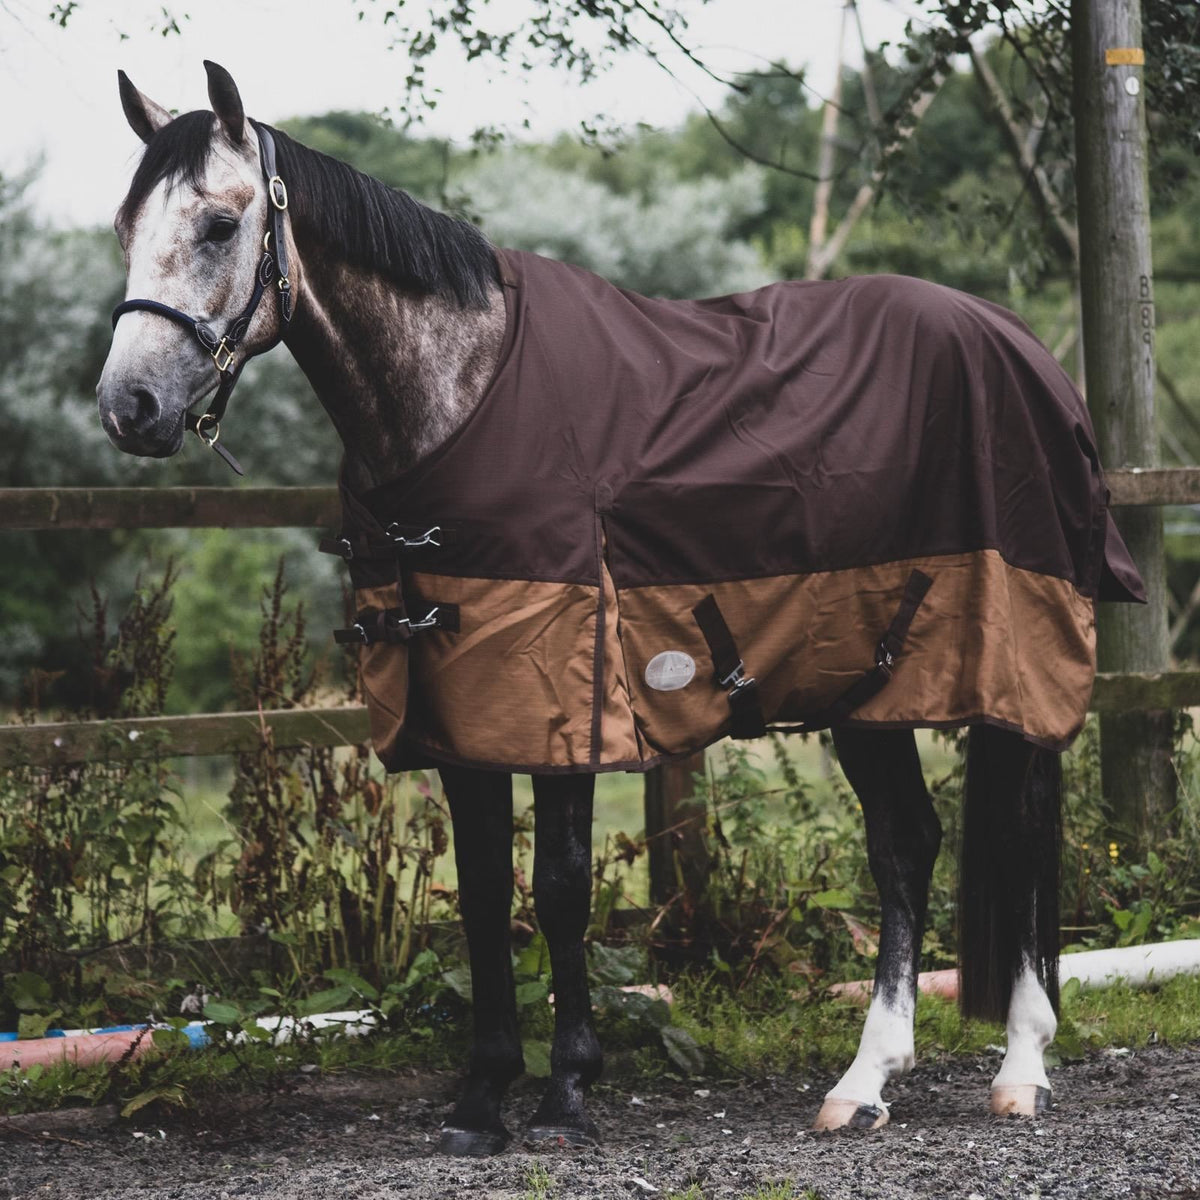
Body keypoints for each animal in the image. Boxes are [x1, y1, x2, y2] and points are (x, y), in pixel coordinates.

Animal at [97, 62, 1144, 1153]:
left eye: (221, 225)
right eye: (125, 226)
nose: (129, 408)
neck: (461, 398)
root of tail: (1023, 346)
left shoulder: (564, 692)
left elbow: (559, 888)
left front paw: (565, 1089)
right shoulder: (459, 703)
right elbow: (483, 893)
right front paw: (482, 1097)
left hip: (997, 663)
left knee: (1018, 838)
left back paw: (1021, 1065)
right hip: (871, 681)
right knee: (906, 845)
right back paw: (866, 1079)